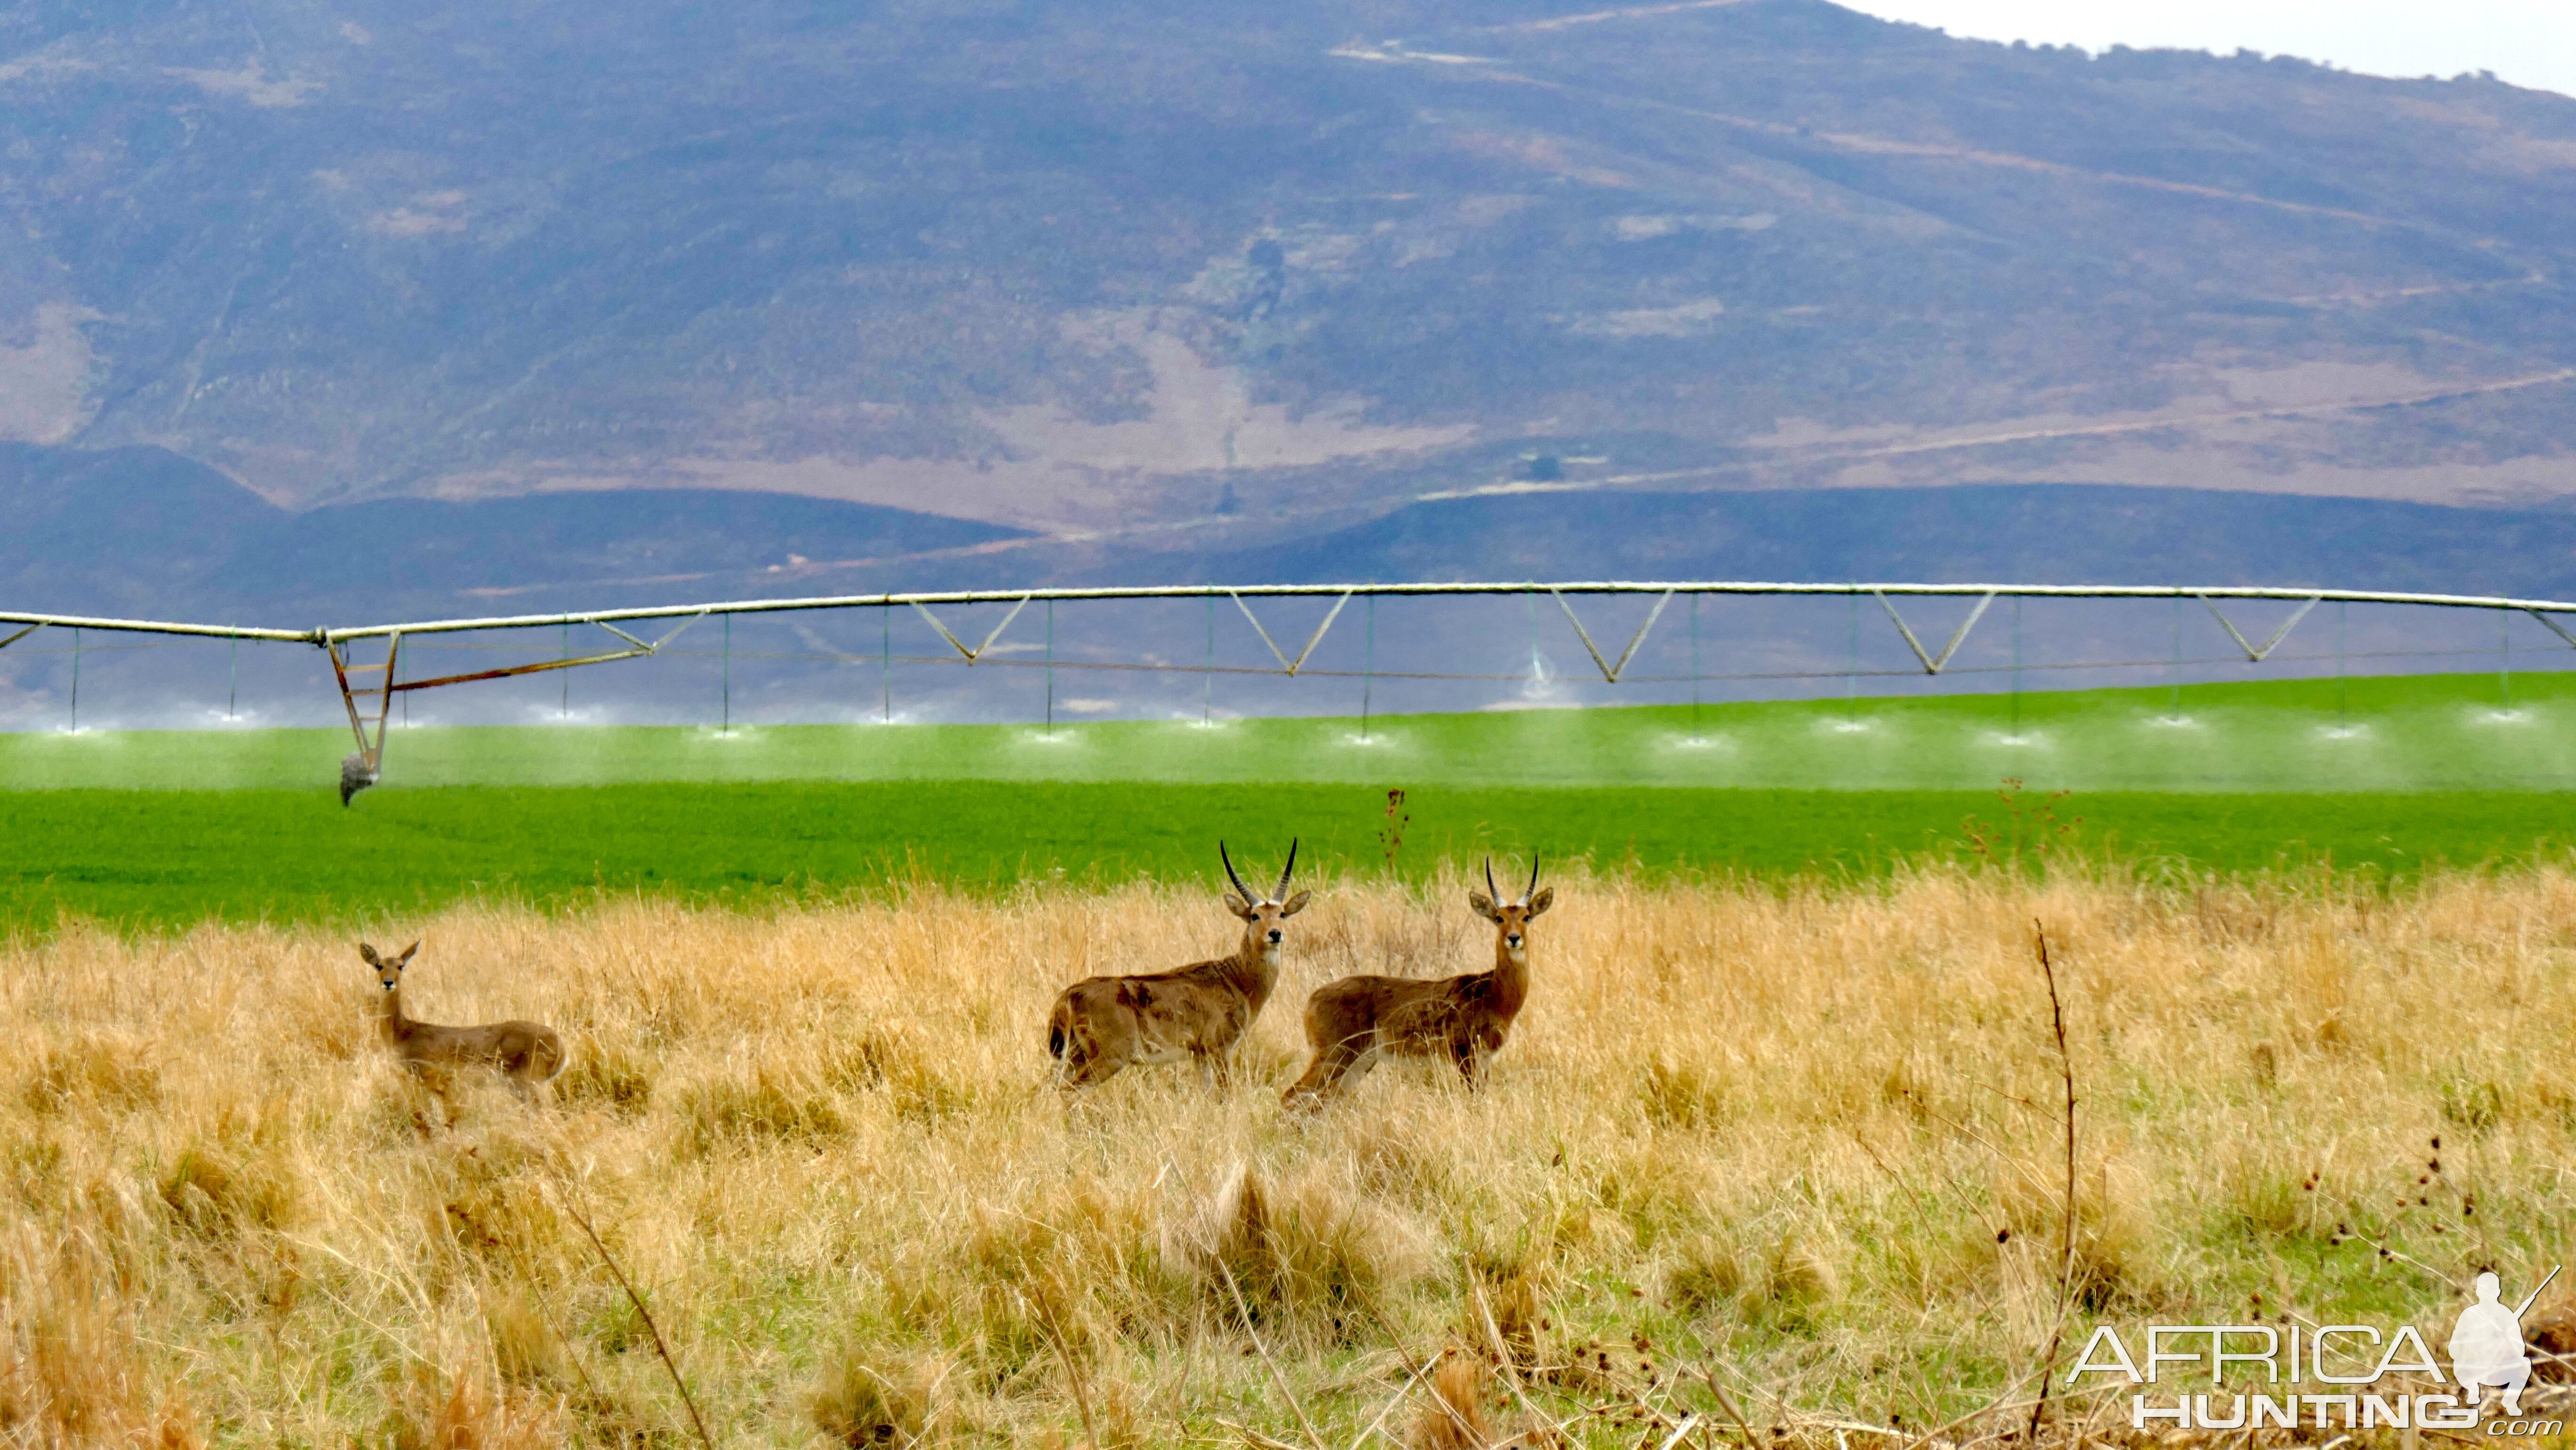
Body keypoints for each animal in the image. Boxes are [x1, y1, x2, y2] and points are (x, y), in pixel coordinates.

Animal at [358, 942, 564, 1102]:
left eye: (401, 966)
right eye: (379, 966)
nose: (388, 982)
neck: (403, 1033)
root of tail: (562, 1049)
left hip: (526, 1079)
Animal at [1051, 839, 1319, 1092]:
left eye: (1282, 914)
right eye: (1255, 916)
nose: (1275, 934)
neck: (1237, 979)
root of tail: (1070, 995)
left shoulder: (1199, 1056)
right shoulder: (1220, 1049)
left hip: (1074, 1057)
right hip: (1110, 1058)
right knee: (1069, 1092)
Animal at [1283, 855, 1546, 1107]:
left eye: (1527, 917)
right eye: (1499, 918)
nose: (1514, 938)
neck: (1493, 994)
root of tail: (1312, 998)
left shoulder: (1485, 1059)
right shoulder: (1463, 1054)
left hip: (1359, 1064)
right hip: (1333, 1057)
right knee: (1291, 1096)